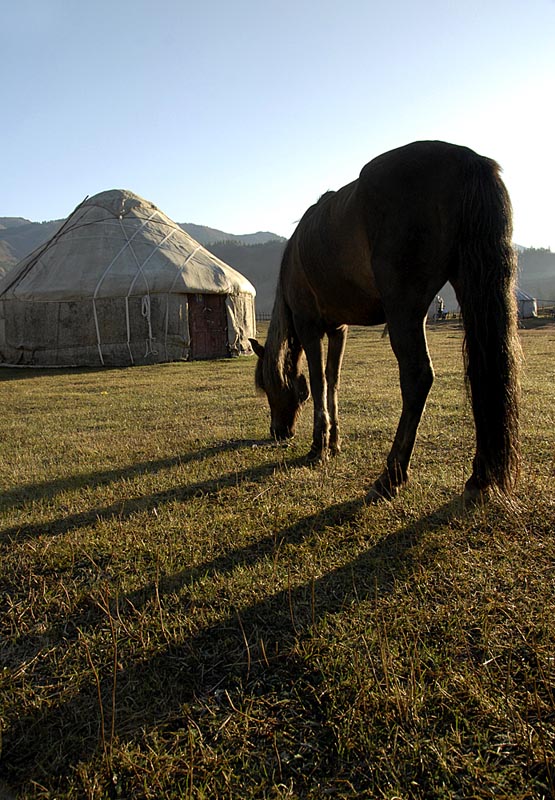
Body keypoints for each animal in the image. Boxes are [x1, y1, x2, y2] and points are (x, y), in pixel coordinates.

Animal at [252, 138, 520, 500]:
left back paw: (391, 474)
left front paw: (319, 446)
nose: (277, 431)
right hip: (469, 290)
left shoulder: (310, 327)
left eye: (267, 386)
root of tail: (466, 159)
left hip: (404, 309)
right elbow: (333, 380)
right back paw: (479, 477)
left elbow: (319, 381)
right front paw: (334, 442)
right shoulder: (339, 330)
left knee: (417, 377)